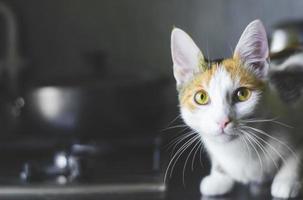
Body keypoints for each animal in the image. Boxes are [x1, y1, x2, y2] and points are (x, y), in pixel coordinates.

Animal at [170, 19, 303, 198]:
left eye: (242, 94)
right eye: (201, 97)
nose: (223, 121)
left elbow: (295, 156)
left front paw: (287, 180)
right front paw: (219, 177)